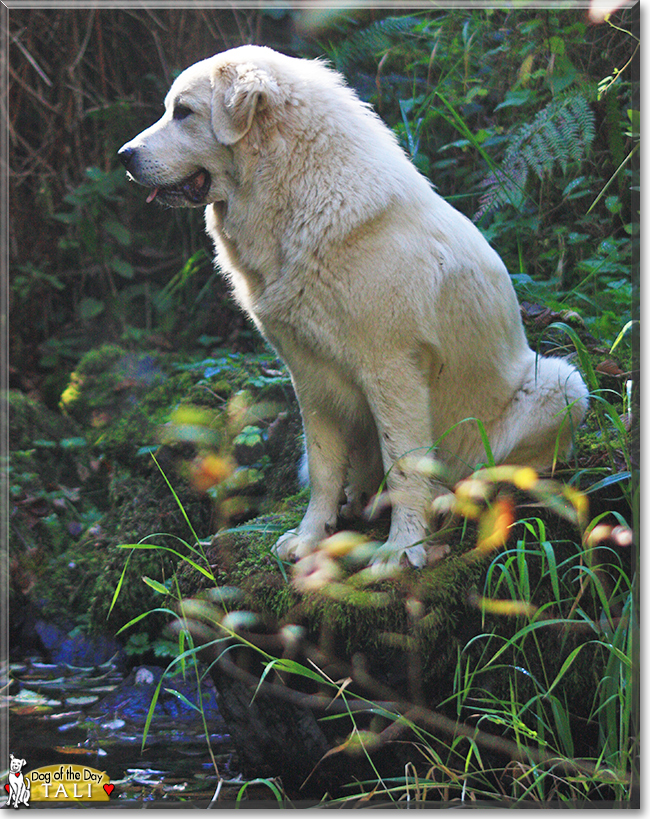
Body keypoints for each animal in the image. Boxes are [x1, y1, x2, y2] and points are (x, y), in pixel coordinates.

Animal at [117, 48, 588, 568]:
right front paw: (310, 537)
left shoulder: (393, 370)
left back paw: (448, 501)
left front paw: (402, 550)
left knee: (498, 472)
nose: (124, 156)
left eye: (184, 112)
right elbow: (325, 466)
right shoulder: (308, 374)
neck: (294, 193)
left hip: (561, 384)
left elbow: (404, 465)